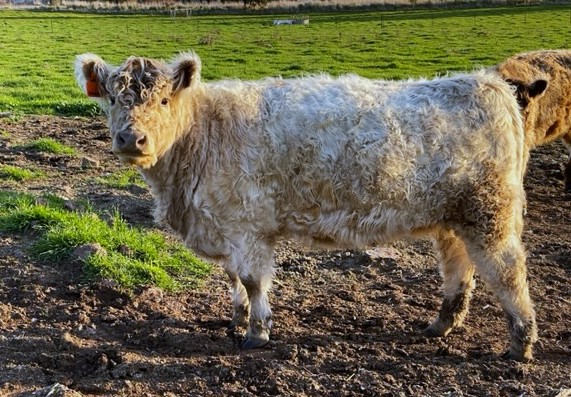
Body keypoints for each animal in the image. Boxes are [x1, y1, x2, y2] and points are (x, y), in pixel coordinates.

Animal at [73, 51, 544, 360]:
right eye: (113, 98)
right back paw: (441, 324)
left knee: (508, 272)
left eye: (164, 100)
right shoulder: (226, 227)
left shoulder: (247, 226)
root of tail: (487, 83)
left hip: (491, 214)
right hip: (454, 219)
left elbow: (253, 280)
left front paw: (256, 333)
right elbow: (233, 279)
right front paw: (236, 318)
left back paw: (520, 344)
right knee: (458, 270)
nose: (132, 139)